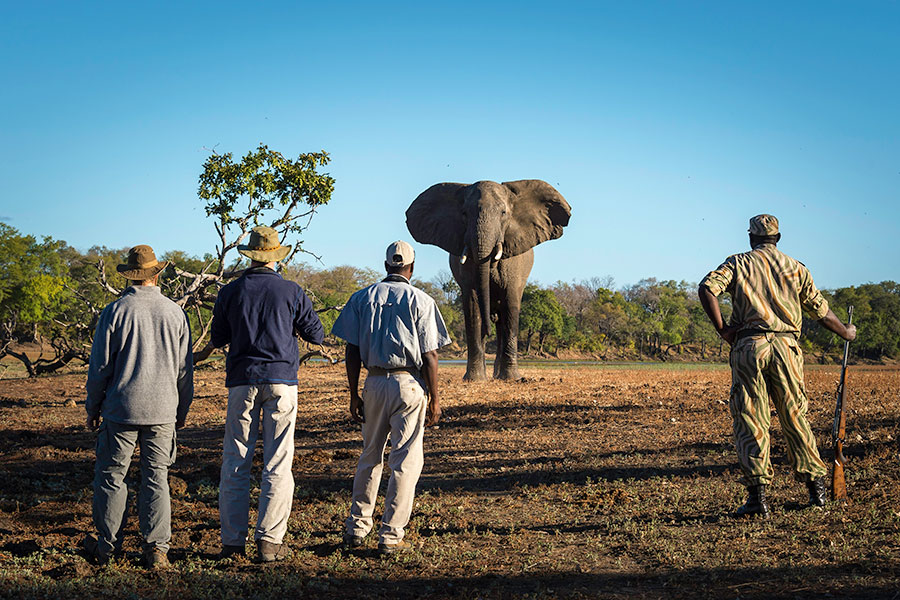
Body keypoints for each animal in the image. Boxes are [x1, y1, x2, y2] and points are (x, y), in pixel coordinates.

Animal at [406, 180, 568, 382]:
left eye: (503, 213)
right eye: (464, 214)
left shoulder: (513, 264)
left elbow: (510, 306)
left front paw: (511, 379)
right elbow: (473, 306)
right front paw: (474, 379)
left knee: (502, 323)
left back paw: (499, 374)